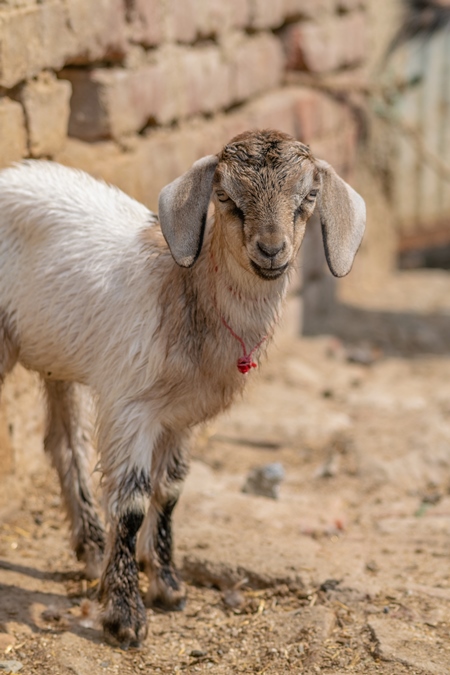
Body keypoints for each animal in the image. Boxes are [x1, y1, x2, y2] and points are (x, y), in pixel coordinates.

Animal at [0, 128, 366, 648]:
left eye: (308, 197)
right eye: (226, 197)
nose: (271, 250)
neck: (185, 291)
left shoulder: (181, 418)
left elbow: (169, 492)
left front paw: (169, 587)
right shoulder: (131, 406)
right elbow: (132, 503)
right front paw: (125, 616)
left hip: (58, 357)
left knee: (65, 443)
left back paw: (91, 548)